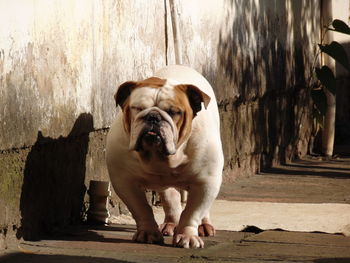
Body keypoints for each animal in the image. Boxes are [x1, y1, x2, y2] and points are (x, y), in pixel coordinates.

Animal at [105, 65, 223, 249]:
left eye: (174, 112)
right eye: (137, 108)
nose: (153, 116)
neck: (160, 157)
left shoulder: (206, 181)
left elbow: (192, 212)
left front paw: (188, 236)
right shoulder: (125, 182)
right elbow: (141, 208)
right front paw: (148, 233)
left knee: (201, 210)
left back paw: (204, 226)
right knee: (170, 198)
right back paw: (170, 224)